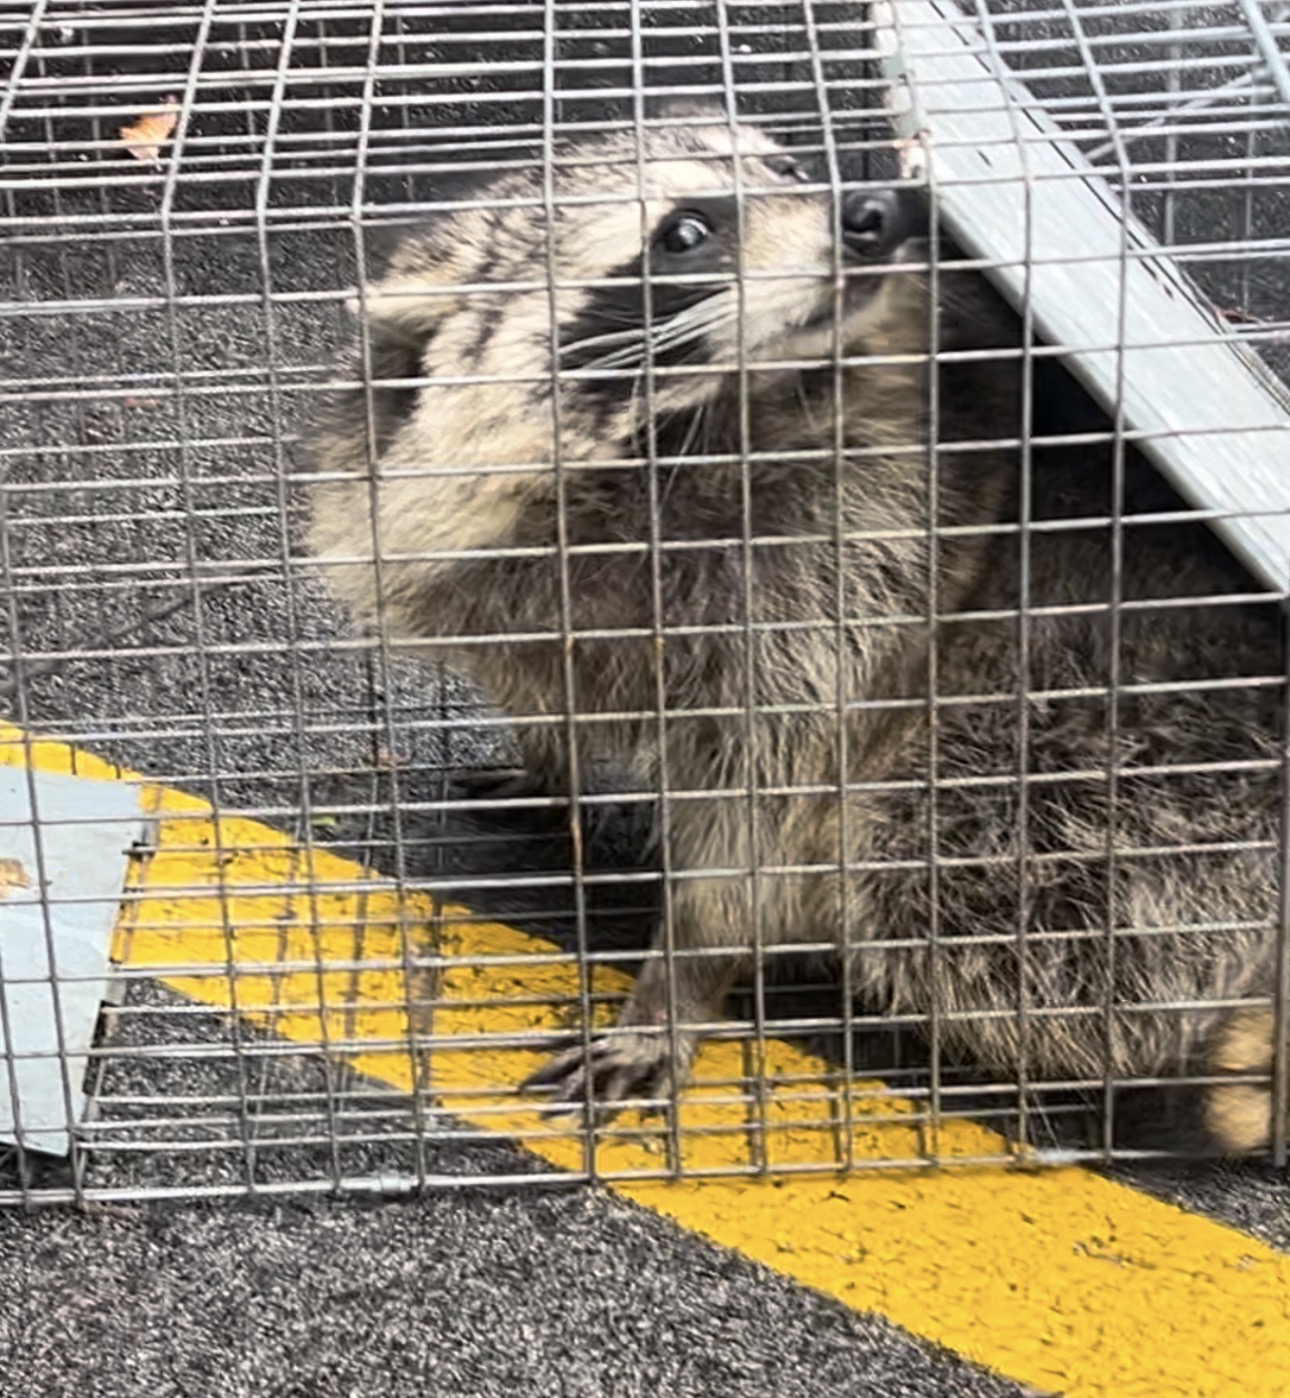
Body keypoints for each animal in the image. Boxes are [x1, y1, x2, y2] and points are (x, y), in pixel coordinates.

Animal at [309, 111, 1285, 1155]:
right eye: (684, 231)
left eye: (786, 166)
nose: (877, 209)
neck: (689, 435)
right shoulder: (482, 561)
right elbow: (538, 678)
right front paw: (551, 762)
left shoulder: (854, 573)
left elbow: (762, 818)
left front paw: (677, 982)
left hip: (1120, 755)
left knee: (939, 868)